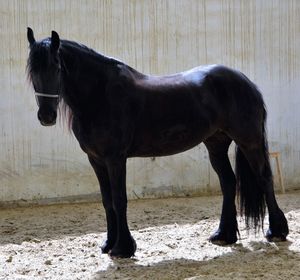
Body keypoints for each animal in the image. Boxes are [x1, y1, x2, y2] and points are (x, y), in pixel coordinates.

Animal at [26, 28, 288, 258]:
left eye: (57, 67)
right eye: (32, 71)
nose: (46, 116)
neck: (100, 95)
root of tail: (246, 82)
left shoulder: (115, 159)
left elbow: (119, 199)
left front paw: (123, 248)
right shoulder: (96, 160)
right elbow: (107, 200)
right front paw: (108, 244)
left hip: (249, 140)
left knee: (264, 177)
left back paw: (277, 231)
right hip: (216, 144)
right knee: (229, 182)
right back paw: (224, 235)